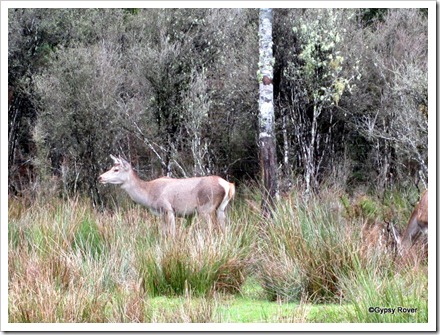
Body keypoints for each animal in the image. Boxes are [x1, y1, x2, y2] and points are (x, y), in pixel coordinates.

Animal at [98, 156, 235, 236]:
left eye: (116, 169)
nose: (100, 177)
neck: (148, 195)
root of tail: (228, 186)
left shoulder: (168, 209)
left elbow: (172, 234)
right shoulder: (161, 214)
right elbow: (163, 234)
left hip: (205, 208)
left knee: (211, 229)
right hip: (221, 209)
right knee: (225, 229)